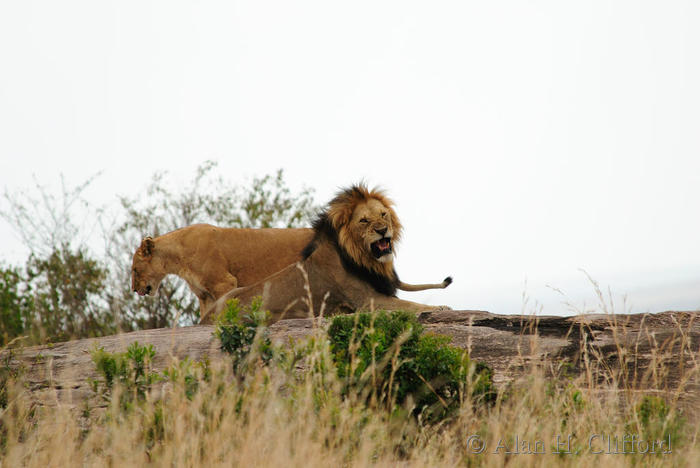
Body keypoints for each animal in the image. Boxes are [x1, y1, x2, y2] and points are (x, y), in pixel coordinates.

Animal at [205, 184, 452, 323]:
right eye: (364, 221)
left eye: (383, 214)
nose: (383, 230)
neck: (363, 258)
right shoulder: (367, 301)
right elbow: (412, 306)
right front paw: (441, 308)